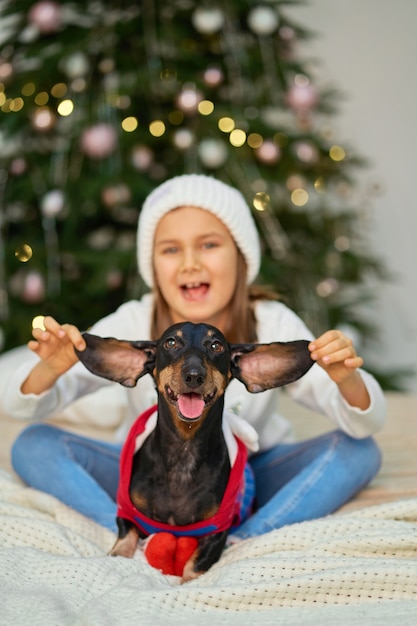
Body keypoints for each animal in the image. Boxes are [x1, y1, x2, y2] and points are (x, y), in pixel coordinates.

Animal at [76, 322, 314, 580]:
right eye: (170, 342)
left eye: (217, 345)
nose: (193, 376)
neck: (184, 449)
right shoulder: (127, 514)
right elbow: (124, 538)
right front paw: (116, 556)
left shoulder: (217, 532)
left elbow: (195, 565)